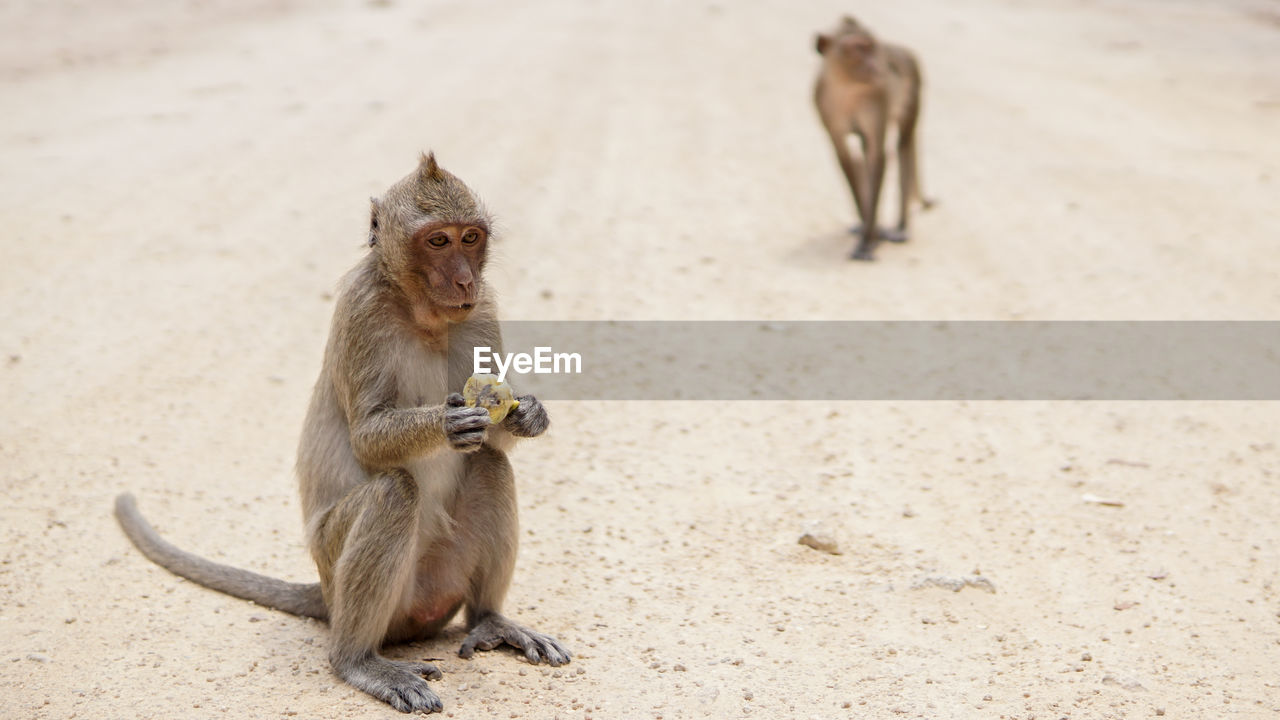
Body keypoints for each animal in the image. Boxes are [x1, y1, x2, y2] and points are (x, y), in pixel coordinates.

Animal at [114, 152, 570, 714]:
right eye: (438, 242)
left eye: (470, 238)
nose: (464, 280)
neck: (421, 315)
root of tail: (326, 595)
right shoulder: (361, 307)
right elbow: (368, 438)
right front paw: (449, 423)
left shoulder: (483, 309)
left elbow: (493, 439)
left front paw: (528, 415)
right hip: (339, 566)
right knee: (393, 493)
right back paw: (358, 661)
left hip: (441, 578)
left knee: (488, 465)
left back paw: (490, 620)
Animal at [814, 15, 934, 260]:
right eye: (858, 48)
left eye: (871, 47)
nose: (876, 66)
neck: (846, 85)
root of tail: (906, 51)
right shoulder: (823, 104)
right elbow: (846, 159)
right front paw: (868, 229)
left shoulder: (879, 98)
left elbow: (876, 156)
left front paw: (867, 242)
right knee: (862, 152)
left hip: (914, 88)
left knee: (903, 146)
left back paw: (901, 227)